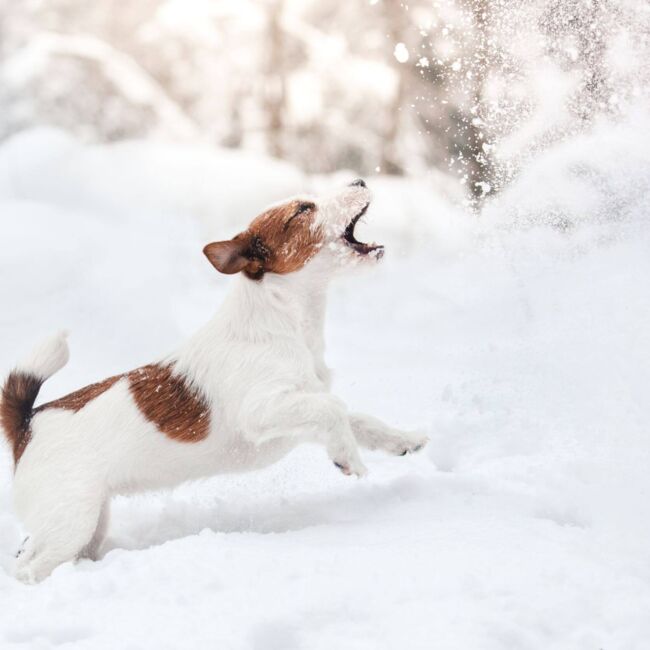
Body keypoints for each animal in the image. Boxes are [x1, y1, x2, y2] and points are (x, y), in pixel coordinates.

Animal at [1, 178, 426, 584]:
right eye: (303, 209)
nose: (359, 181)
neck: (281, 319)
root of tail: (27, 424)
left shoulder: (297, 410)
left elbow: (355, 418)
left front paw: (402, 440)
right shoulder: (262, 411)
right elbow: (333, 409)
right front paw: (348, 458)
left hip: (88, 524)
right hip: (72, 521)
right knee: (29, 568)